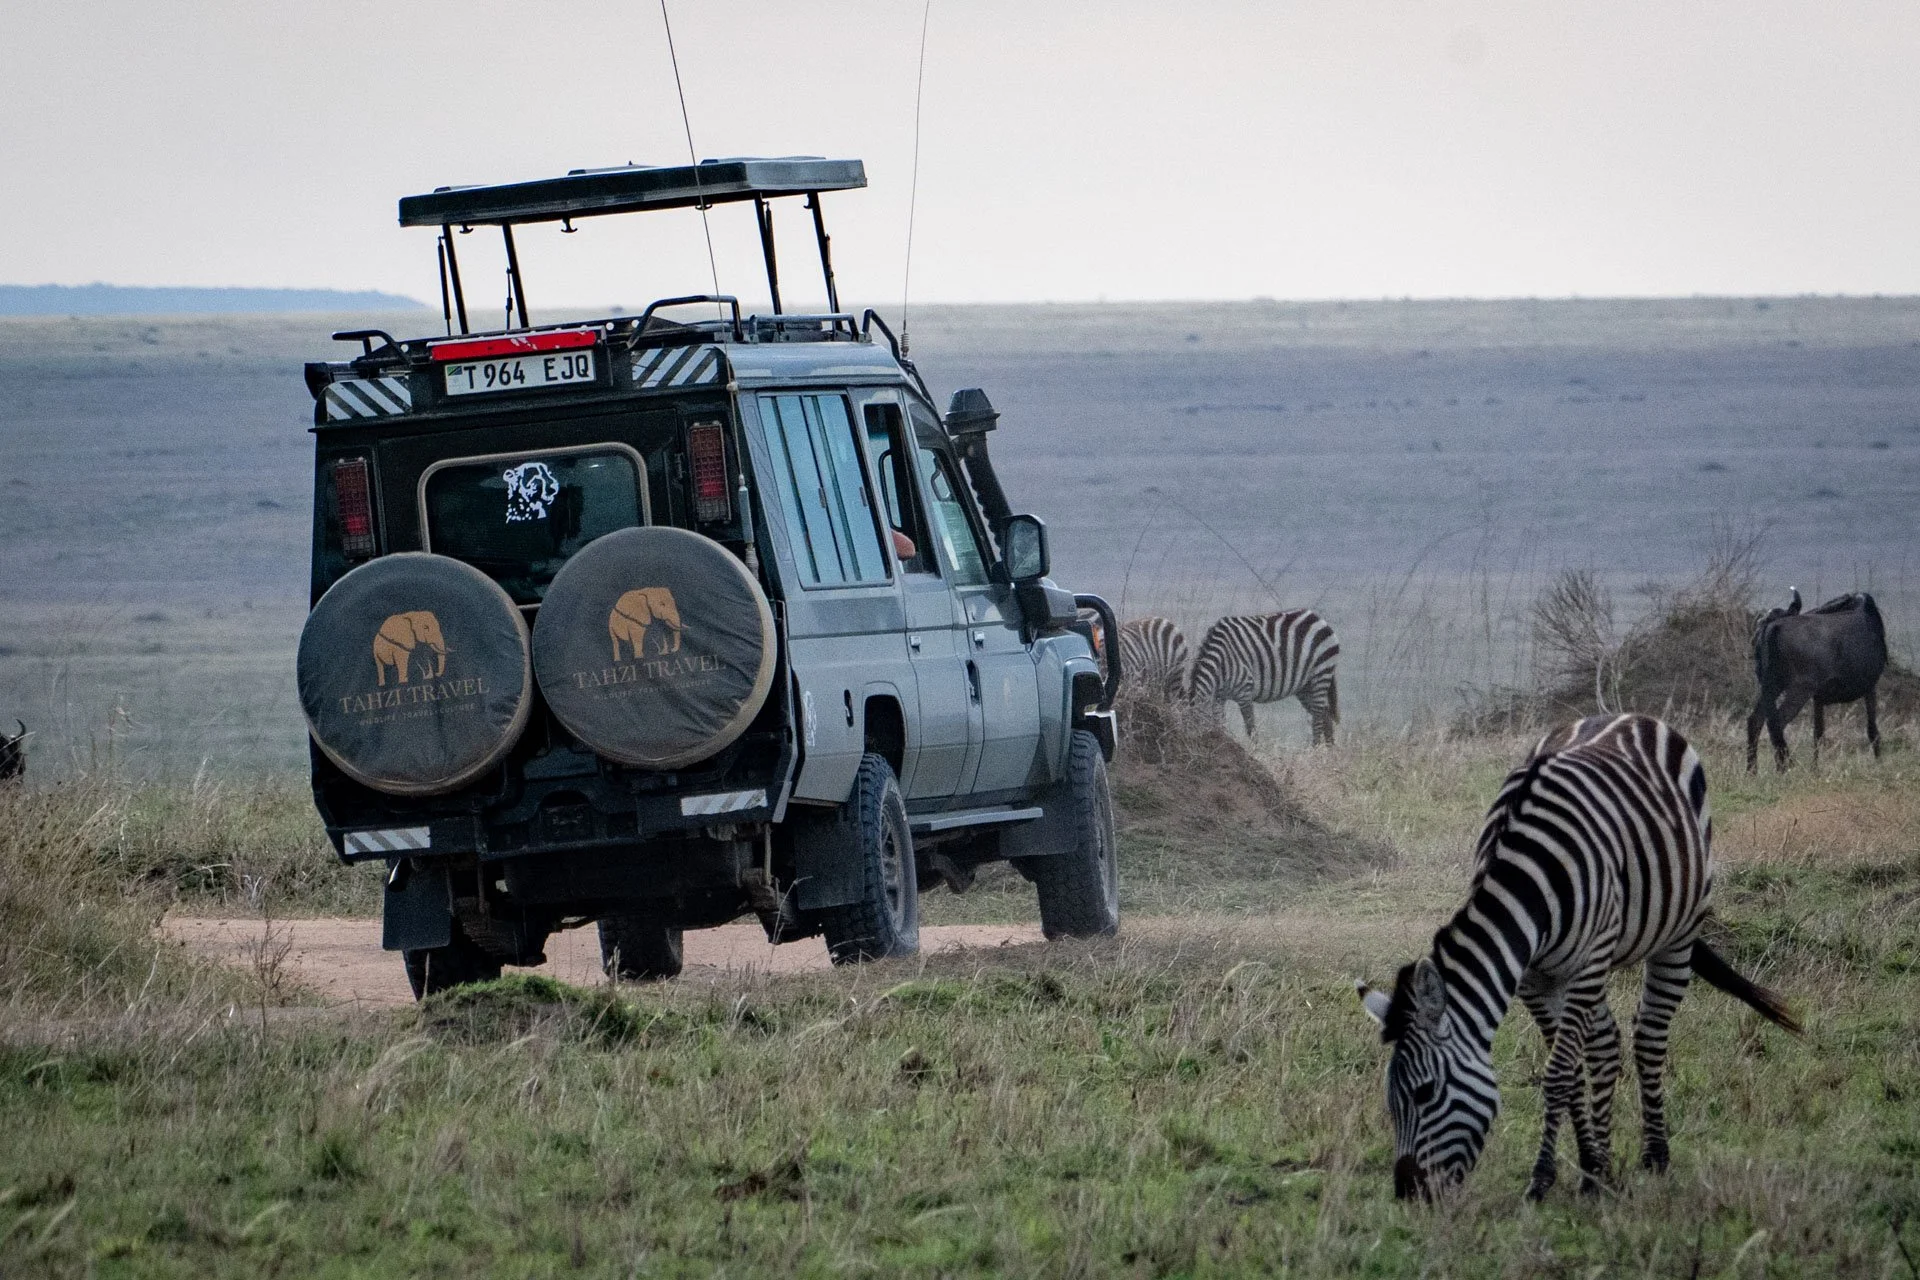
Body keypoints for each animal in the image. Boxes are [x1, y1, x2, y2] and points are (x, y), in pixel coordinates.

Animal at [1188, 610, 1339, 744]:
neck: (1220, 661)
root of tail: (1317, 618)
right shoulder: (1219, 697)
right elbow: (1220, 724)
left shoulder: (1245, 692)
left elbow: (1251, 729)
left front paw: (1255, 752)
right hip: (1305, 687)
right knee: (1325, 716)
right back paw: (1329, 751)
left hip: (1321, 673)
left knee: (1318, 717)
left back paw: (1315, 749)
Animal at [1356, 714, 1801, 1201]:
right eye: (1390, 1101)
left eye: (1424, 1093)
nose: (1409, 1194)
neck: (1528, 884)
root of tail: (1630, 716)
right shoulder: (1532, 977)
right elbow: (1569, 1072)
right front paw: (1588, 1165)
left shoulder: (1587, 960)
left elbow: (1557, 1074)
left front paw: (1540, 1180)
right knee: (1606, 1043)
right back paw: (1599, 1169)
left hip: (1674, 934)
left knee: (1649, 1035)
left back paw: (1655, 1156)